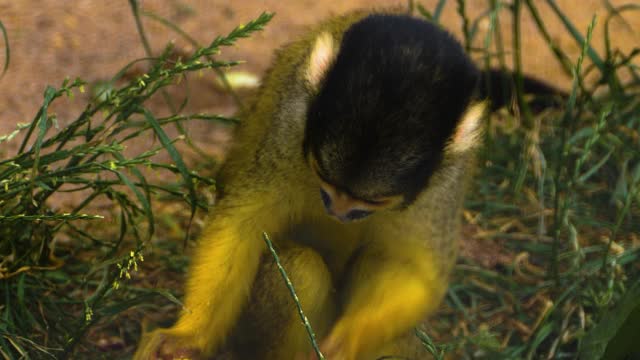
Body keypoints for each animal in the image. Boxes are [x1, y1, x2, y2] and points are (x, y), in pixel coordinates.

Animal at [134, 9, 484, 358]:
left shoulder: (443, 184)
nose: (340, 211)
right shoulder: (289, 124)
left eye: (376, 201)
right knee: (299, 268)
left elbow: (414, 269)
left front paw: (347, 342)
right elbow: (243, 223)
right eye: (322, 174)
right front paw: (188, 336)